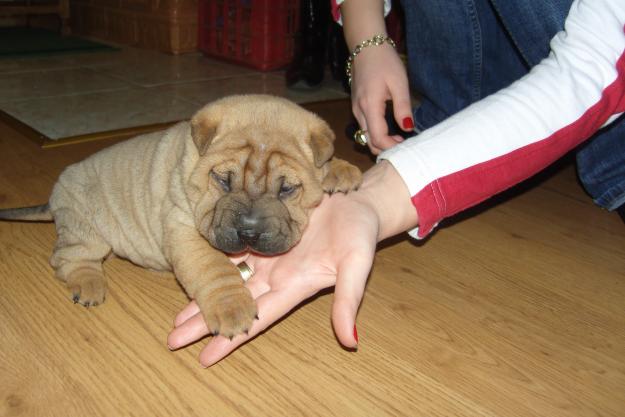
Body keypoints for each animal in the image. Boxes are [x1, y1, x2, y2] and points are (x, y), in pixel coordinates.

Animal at [0, 94, 360, 338]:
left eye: (287, 189)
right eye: (223, 180)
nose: (249, 232)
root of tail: (53, 197)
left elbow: (323, 162)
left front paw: (340, 170)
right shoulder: (183, 226)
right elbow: (213, 268)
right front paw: (232, 308)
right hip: (84, 224)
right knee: (68, 258)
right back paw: (89, 285)